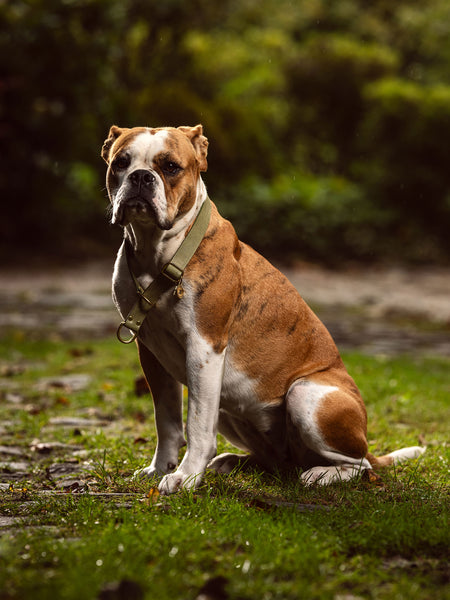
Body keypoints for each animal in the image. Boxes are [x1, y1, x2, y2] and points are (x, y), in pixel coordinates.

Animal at [102, 124, 426, 494]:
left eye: (170, 167)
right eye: (121, 162)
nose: (141, 177)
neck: (159, 250)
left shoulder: (204, 348)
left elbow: (196, 424)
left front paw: (185, 476)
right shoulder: (151, 354)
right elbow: (167, 422)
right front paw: (159, 469)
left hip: (307, 395)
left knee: (360, 465)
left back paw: (322, 474)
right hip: (232, 409)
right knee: (277, 461)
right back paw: (234, 462)